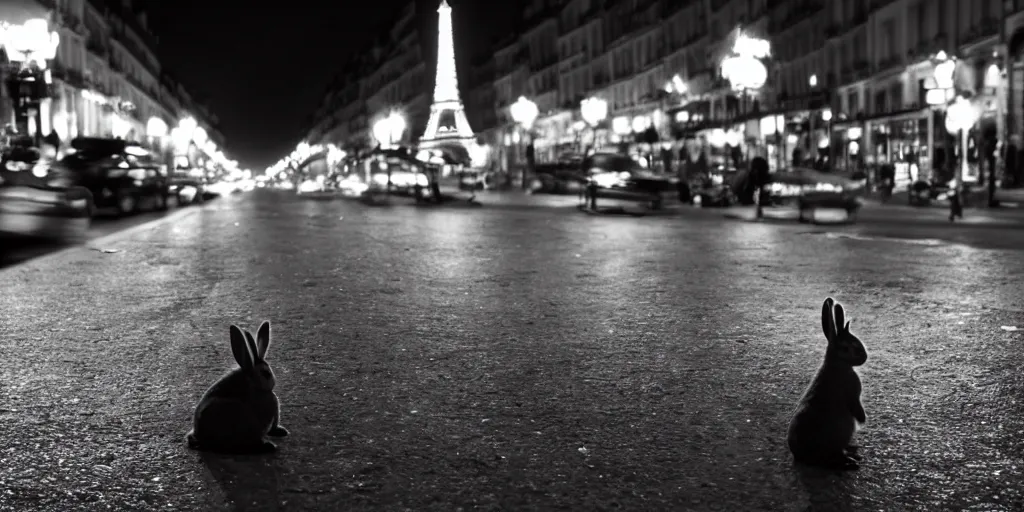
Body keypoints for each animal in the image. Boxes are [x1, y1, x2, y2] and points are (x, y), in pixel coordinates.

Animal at [786, 299, 868, 468]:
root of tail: (801, 456)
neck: (837, 363)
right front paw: (863, 419)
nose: (865, 357)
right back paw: (851, 462)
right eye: (847, 348)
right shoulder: (852, 394)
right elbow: (855, 405)